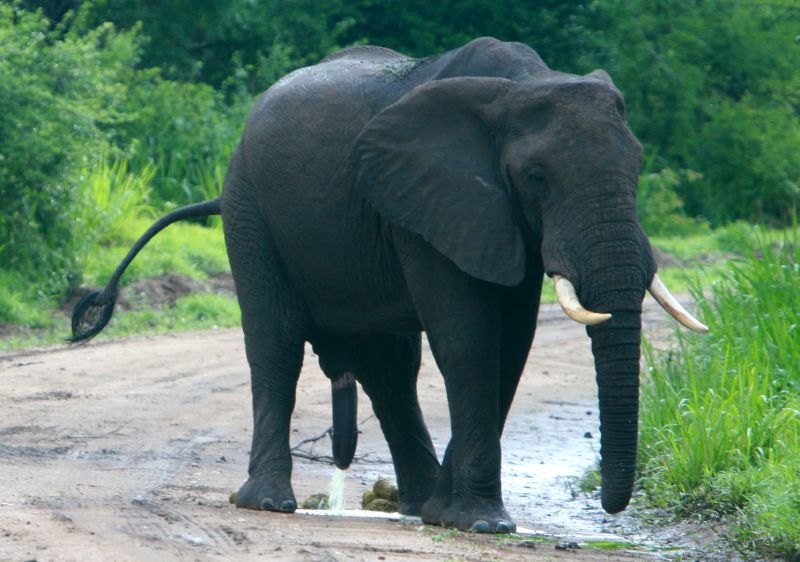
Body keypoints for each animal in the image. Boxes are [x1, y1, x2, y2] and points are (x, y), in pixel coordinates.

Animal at [71, 37, 707, 533]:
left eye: (639, 166)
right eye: (536, 177)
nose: (609, 503)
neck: (520, 85)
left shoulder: (497, 220)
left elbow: (512, 344)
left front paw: (450, 515)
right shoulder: (432, 203)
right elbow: (468, 339)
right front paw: (481, 522)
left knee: (390, 366)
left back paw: (416, 505)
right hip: (248, 204)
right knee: (276, 341)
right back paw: (270, 504)